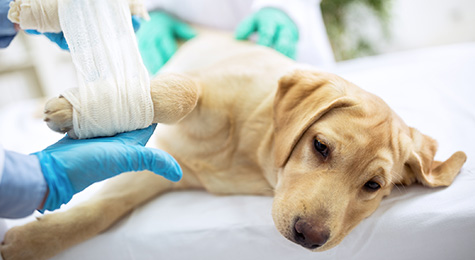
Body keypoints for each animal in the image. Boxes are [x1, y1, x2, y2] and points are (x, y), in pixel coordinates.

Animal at [0, 31, 468, 258]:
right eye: (320, 146)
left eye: (373, 187)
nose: (308, 237)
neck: (252, 152)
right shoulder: (205, 86)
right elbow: (185, 90)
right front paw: (78, 109)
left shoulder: (163, 171)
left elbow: (101, 211)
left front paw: (30, 243)